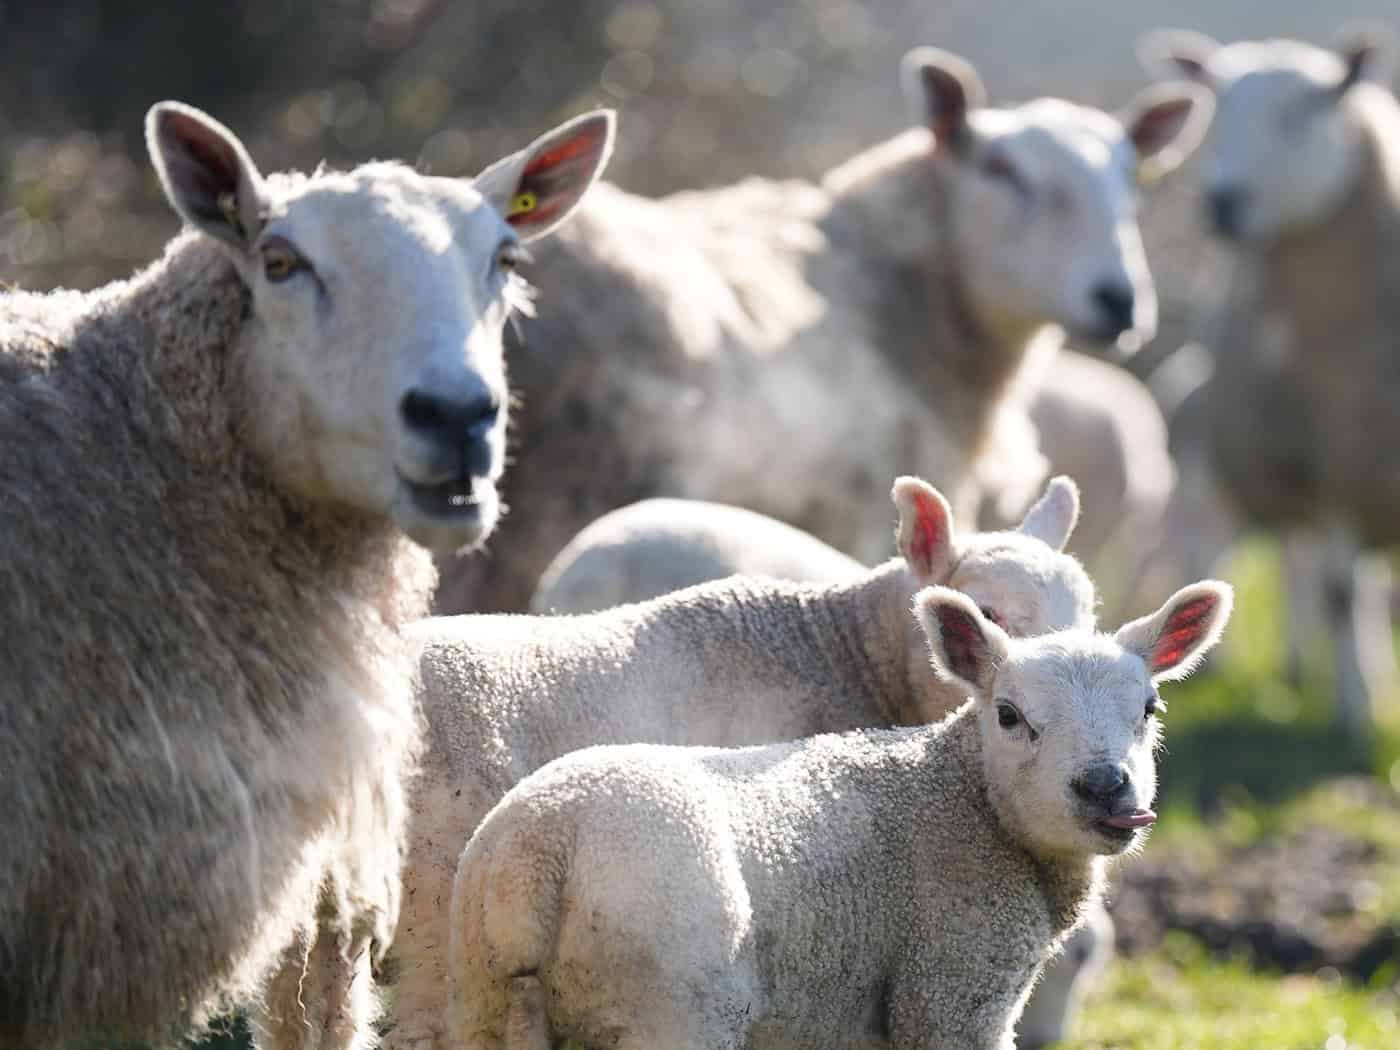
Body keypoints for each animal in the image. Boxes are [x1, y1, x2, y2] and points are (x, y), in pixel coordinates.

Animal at [448, 580, 1233, 1050]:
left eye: (1150, 709)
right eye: (1009, 715)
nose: (1106, 787)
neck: (964, 801)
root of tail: (543, 855)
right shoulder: (951, 988)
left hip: (479, 998)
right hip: (671, 998)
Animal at [1139, 25, 1400, 739]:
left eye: (1305, 110)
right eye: (1215, 112)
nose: (1221, 202)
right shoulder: (1330, 463)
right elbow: (1340, 595)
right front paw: (1356, 715)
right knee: (1291, 567)